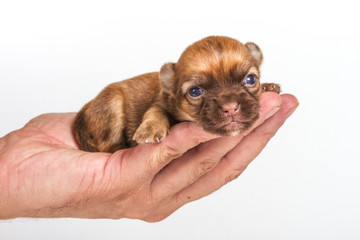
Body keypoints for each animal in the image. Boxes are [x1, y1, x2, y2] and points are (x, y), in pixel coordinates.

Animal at [72, 35, 282, 152]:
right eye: (195, 91)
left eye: (251, 80)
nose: (230, 108)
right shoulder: (159, 104)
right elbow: (155, 112)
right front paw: (151, 128)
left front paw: (268, 87)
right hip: (112, 103)